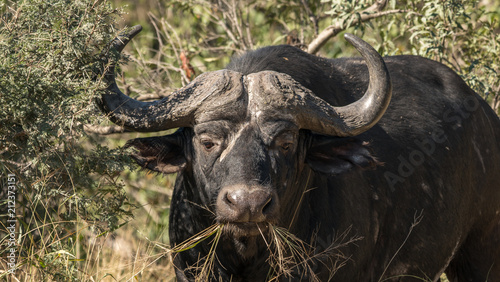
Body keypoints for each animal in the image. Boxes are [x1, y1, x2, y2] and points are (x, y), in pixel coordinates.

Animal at [98, 25, 500, 280]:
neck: (246, 256)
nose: (248, 204)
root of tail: (486, 115)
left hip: (481, 256)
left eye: (286, 142)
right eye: (208, 140)